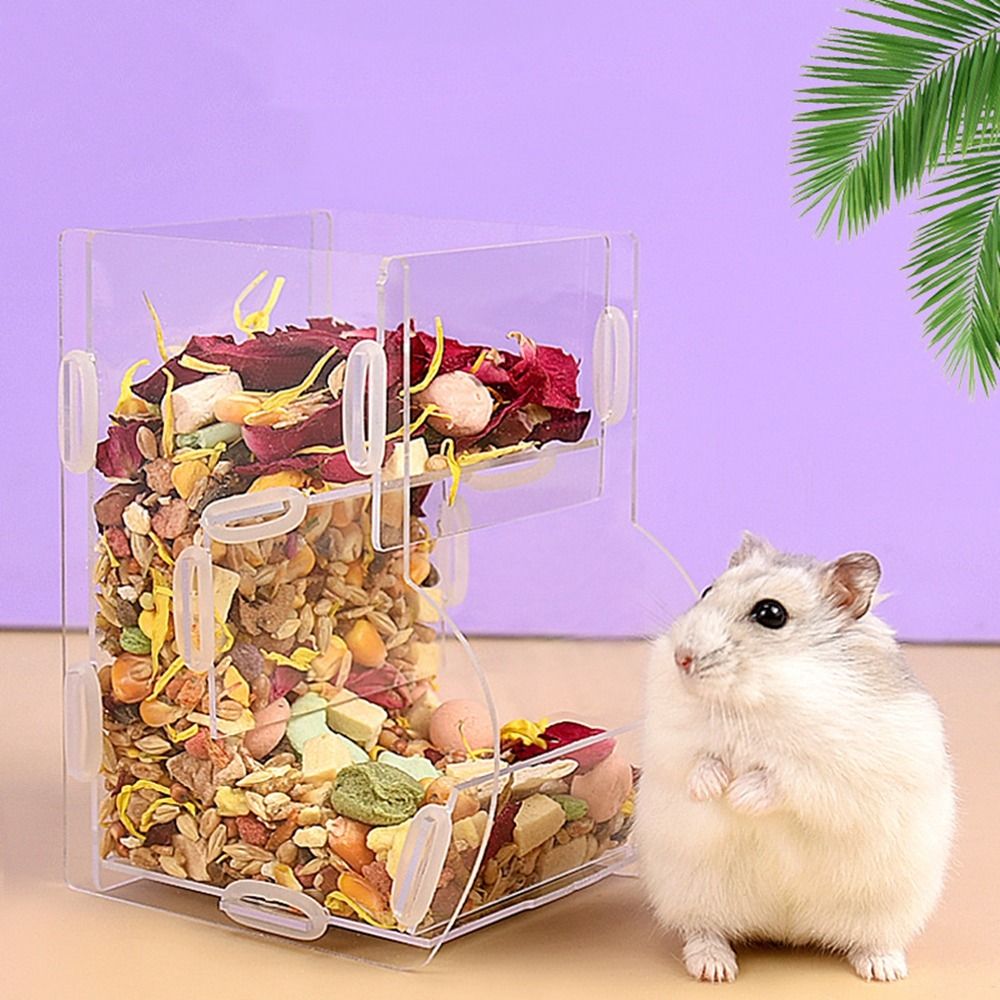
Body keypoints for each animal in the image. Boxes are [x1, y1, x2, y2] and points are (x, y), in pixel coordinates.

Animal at [635, 532, 955, 983]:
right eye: (706, 591)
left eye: (771, 614)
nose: (682, 658)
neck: (761, 694)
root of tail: (787, 930)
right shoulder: (670, 740)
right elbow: (697, 760)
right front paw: (712, 789)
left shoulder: (838, 770)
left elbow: (784, 779)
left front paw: (739, 796)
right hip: (688, 891)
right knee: (704, 930)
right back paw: (715, 968)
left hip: (891, 905)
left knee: (876, 939)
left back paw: (884, 970)